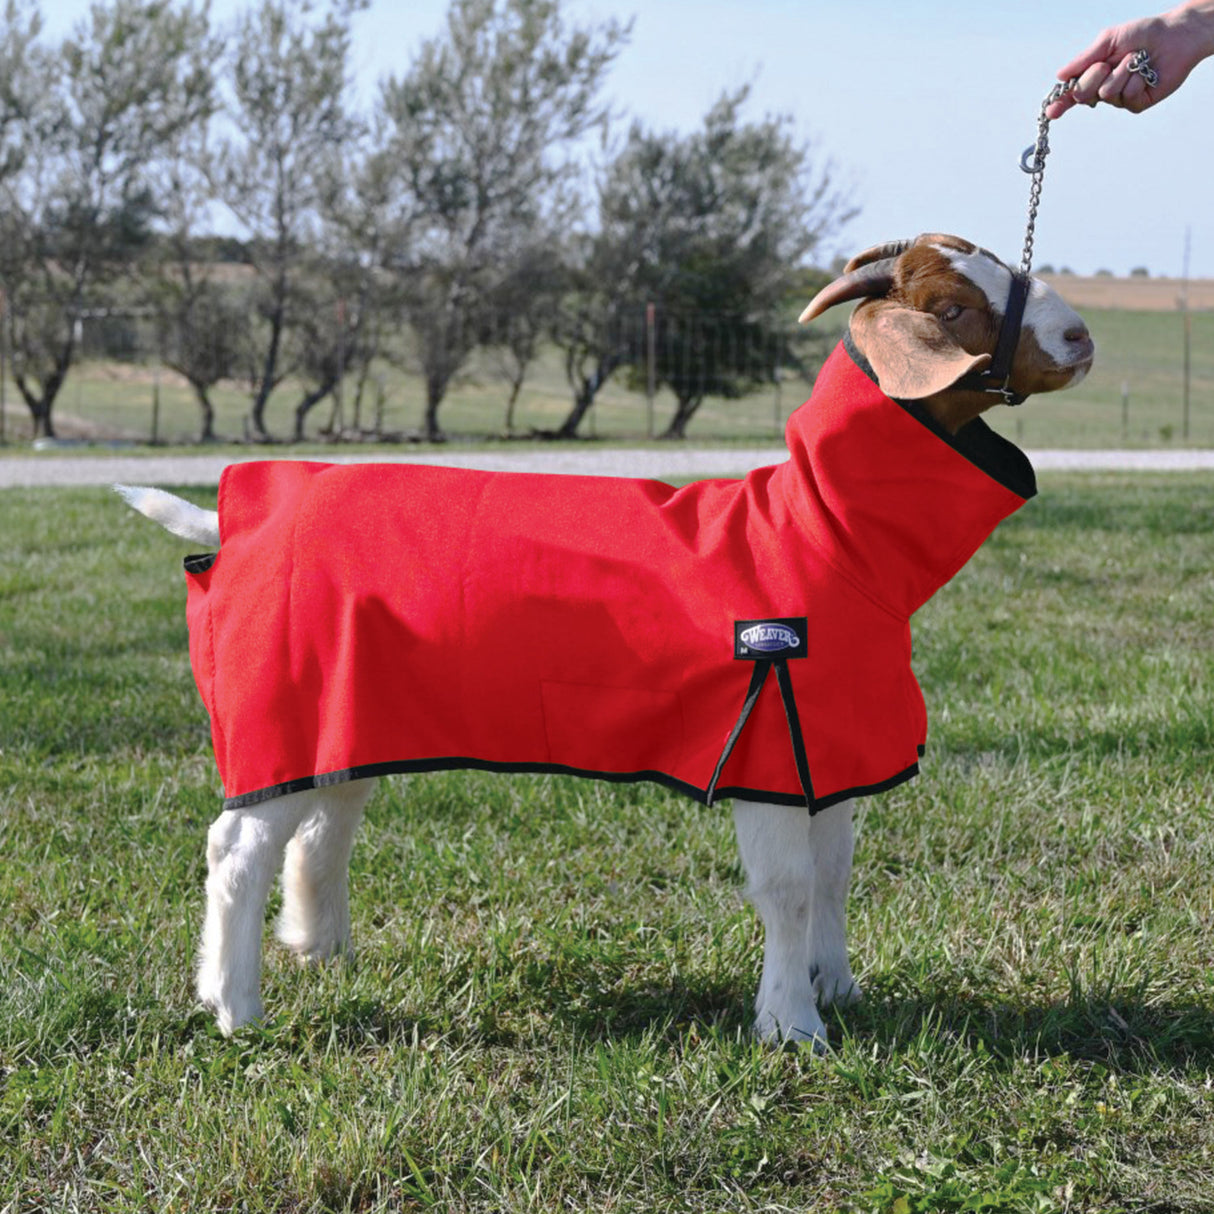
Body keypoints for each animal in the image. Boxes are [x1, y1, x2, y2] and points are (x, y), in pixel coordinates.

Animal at [119, 232, 1093, 1046]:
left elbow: (836, 873)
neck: (818, 534)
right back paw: (236, 1007)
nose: (1081, 336)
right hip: (274, 699)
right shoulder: (767, 743)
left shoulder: (829, 745)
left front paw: (838, 987)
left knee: (326, 821)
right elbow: (786, 890)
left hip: (345, 705)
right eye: (952, 311)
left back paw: (320, 948)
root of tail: (239, 518)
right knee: (237, 850)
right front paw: (791, 1025)